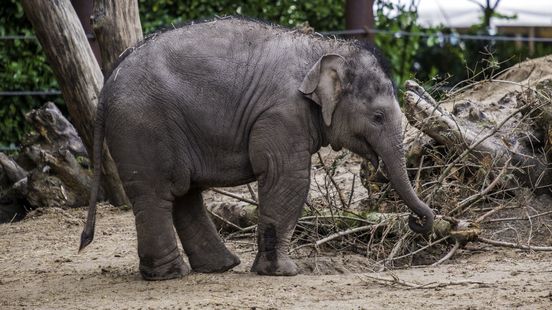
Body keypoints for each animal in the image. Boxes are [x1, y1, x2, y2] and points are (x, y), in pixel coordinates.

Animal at [81, 17, 436, 280]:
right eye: (378, 117)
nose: (416, 222)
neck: (324, 48)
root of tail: (108, 83)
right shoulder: (283, 113)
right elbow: (287, 176)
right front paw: (284, 272)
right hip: (144, 126)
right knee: (159, 194)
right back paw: (172, 274)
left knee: (184, 193)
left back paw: (221, 266)